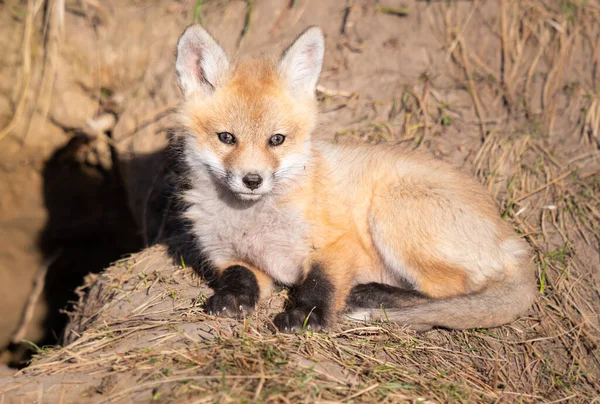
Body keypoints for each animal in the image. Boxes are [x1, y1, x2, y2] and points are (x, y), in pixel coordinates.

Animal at [173, 24, 536, 332]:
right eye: (226, 138)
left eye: (276, 140)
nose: (252, 180)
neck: (253, 223)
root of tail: (511, 239)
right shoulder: (230, 257)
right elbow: (239, 277)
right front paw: (231, 299)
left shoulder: (336, 244)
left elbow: (319, 284)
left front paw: (304, 316)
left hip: (391, 213)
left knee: (451, 292)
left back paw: (375, 296)